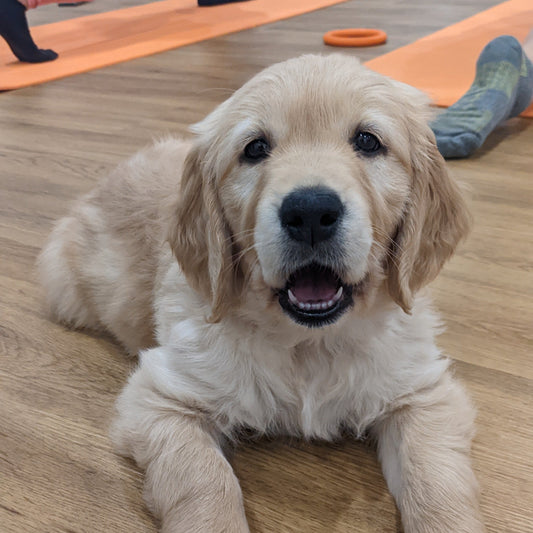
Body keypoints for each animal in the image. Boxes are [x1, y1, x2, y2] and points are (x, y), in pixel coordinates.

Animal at [39, 55, 484, 532]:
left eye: (368, 141)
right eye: (254, 149)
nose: (310, 211)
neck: (309, 344)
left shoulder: (422, 392)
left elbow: (435, 482)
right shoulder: (160, 398)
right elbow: (203, 483)